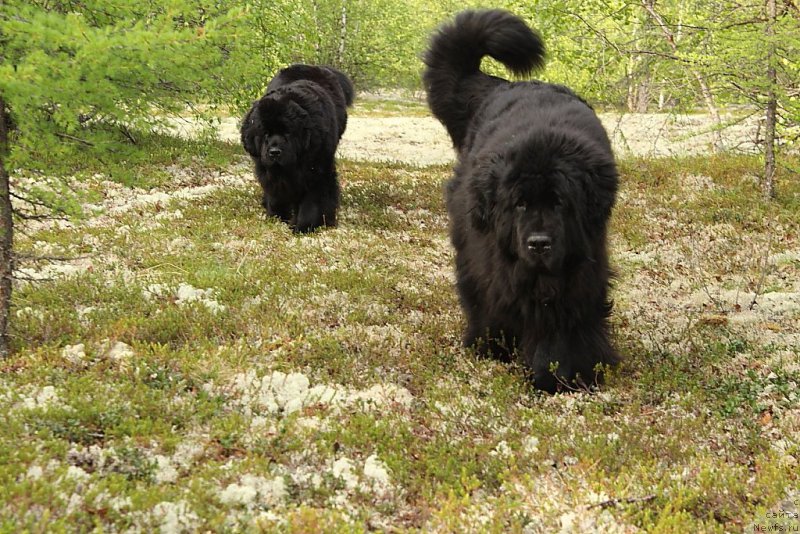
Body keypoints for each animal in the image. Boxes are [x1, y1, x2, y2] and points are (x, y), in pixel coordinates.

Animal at [239, 64, 354, 232]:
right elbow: (276, 194)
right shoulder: (269, 172)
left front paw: (304, 226)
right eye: (265, 133)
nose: (274, 152)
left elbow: (313, 200)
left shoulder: (318, 170)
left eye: (287, 132)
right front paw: (277, 216)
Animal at [422, 8, 620, 394]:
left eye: (560, 203)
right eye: (519, 204)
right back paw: (487, 343)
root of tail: (497, 84)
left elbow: (565, 325)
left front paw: (562, 375)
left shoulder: (582, 268)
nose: (539, 243)